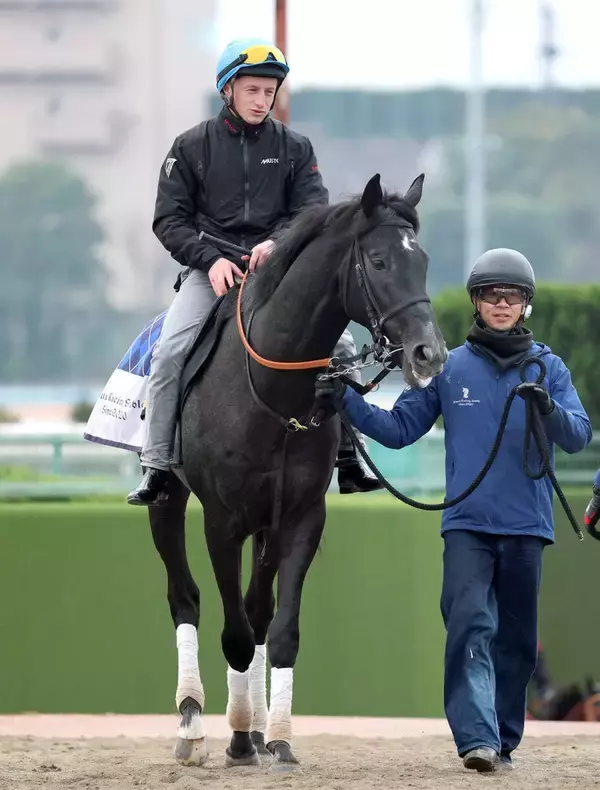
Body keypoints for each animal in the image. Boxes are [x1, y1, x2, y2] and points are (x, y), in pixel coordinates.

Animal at [147, 173, 448, 773]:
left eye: (422, 260)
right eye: (379, 261)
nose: (430, 354)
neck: (270, 390)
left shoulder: (303, 517)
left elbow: (279, 630)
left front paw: (276, 739)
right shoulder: (222, 523)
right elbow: (235, 633)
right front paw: (238, 740)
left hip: (269, 524)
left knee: (259, 611)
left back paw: (258, 727)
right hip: (168, 502)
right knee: (184, 597)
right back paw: (192, 721)